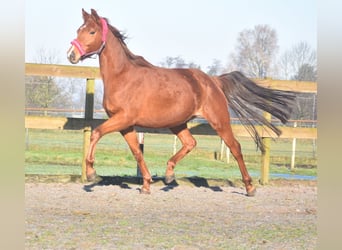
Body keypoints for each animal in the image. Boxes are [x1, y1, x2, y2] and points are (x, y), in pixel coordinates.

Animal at [67, 8, 294, 196]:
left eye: (92, 32)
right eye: (79, 29)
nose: (71, 55)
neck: (123, 76)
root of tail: (213, 81)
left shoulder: (123, 118)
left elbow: (96, 133)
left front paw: (91, 172)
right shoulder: (125, 124)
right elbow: (137, 152)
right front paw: (146, 185)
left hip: (219, 120)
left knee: (235, 147)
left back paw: (250, 187)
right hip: (178, 123)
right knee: (190, 142)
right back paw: (169, 174)